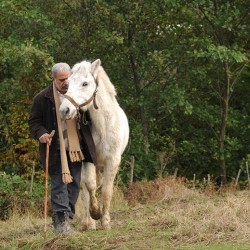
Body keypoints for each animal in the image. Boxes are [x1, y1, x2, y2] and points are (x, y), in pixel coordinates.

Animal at [58, 59, 129, 230]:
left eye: (85, 83)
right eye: (68, 83)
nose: (64, 110)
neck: (104, 126)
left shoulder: (112, 161)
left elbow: (106, 191)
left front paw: (105, 221)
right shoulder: (89, 159)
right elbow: (90, 185)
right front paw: (95, 214)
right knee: (85, 188)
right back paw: (87, 223)